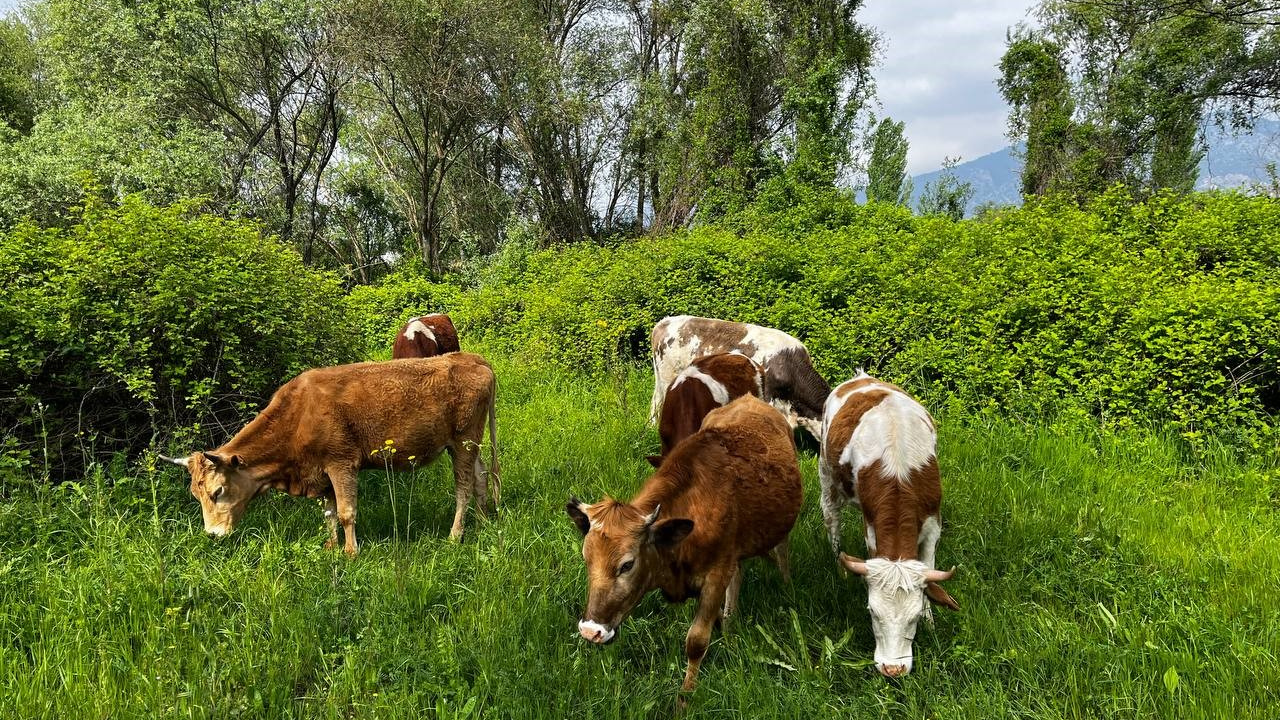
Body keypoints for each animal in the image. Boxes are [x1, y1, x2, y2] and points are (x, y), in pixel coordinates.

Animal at [161, 351, 499, 550]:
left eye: (218, 491)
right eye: (195, 494)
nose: (212, 535)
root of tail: (471, 358)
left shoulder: (341, 463)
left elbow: (347, 512)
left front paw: (351, 552)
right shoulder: (319, 471)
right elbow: (329, 513)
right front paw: (333, 547)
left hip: (463, 442)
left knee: (464, 486)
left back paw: (455, 534)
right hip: (471, 444)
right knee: (481, 477)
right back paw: (483, 522)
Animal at [819, 371, 962, 676]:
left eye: (913, 617)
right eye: (872, 612)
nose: (892, 669)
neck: (899, 475)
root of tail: (861, 377)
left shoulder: (933, 523)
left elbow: (929, 566)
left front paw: (930, 620)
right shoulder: (871, 527)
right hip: (826, 473)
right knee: (831, 519)